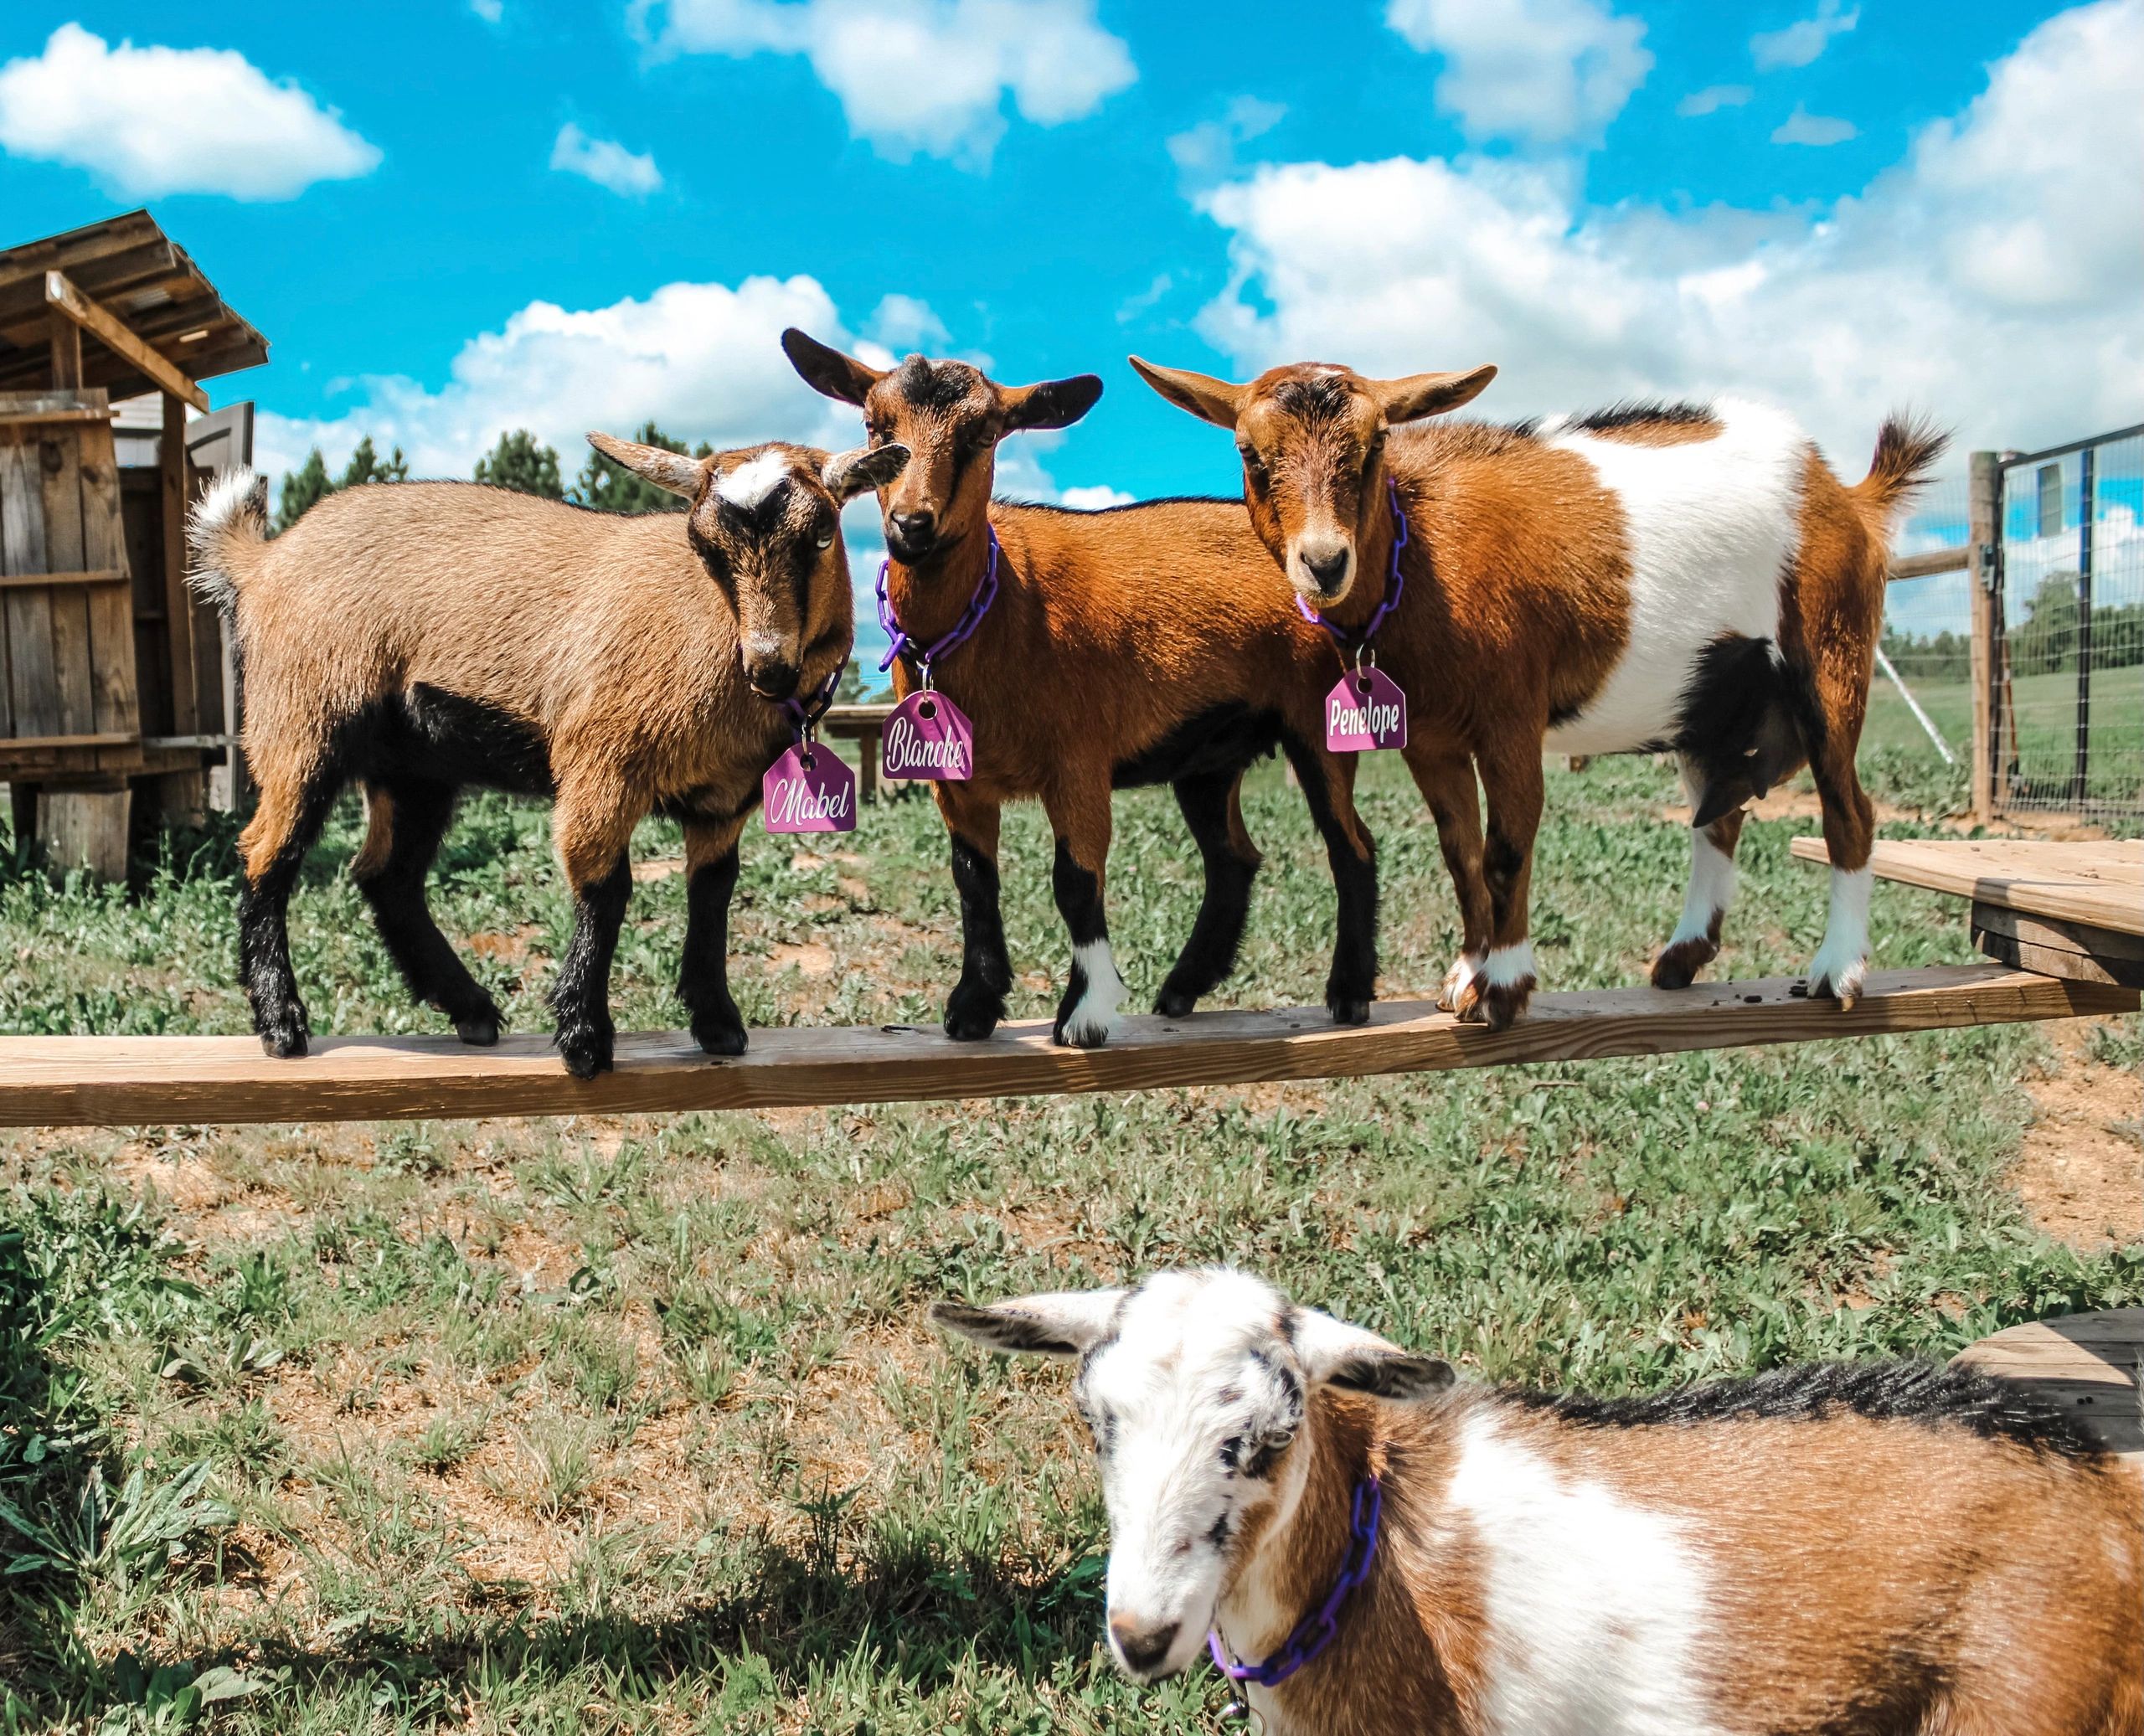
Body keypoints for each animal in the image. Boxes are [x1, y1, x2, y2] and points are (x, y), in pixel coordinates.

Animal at [186, 437, 913, 1067]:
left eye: (822, 534)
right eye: (704, 547)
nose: (769, 665)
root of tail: (263, 561)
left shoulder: (724, 799)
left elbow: (713, 893)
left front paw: (719, 1025)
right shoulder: (601, 761)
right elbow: (606, 887)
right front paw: (585, 1038)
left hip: (414, 764)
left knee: (386, 874)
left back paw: (470, 1008)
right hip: (300, 720)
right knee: (268, 853)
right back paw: (282, 1023)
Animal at [780, 332, 1380, 1050]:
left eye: (985, 433)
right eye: (875, 426)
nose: (911, 524)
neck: (1005, 605)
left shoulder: (1079, 761)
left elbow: (1075, 879)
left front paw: (1086, 1013)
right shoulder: (957, 783)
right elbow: (974, 881)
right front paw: (973, 1007)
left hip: (1318, 720)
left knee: (1351, 845)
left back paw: (1348, 993)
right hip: (1208, 756)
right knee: (1233, 858)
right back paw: (1181, 988)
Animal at [1140, 355, 1946, 1020]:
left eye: (1373, 448)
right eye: (1250, 453)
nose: (1324, 562)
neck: (1422, 551)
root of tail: (1849, 497)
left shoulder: (1511, 716)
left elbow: (1507, 845)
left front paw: (1504, 984)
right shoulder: (1430, 738)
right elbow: (1460, 850)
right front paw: (1464, 975)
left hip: (1832, 656)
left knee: (1849, 811)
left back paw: (1836, 970)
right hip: (1708, 700)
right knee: (1717, 819)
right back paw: (1681, 958)